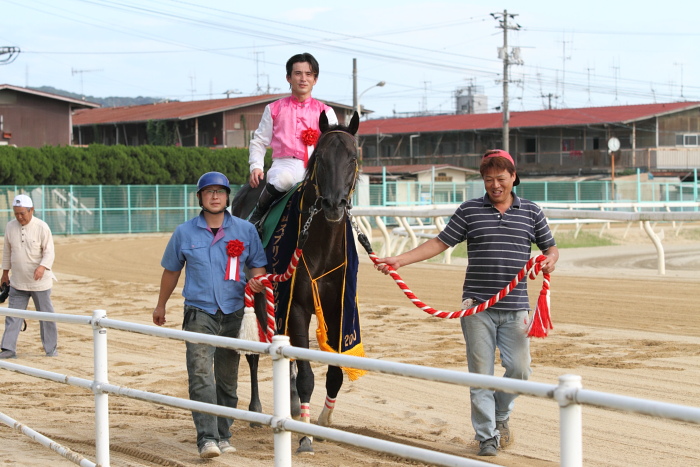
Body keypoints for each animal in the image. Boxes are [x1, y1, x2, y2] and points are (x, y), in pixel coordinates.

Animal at [231, 111, 360, 456]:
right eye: (321, 159)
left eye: (353, 158)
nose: (333, 205)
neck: (321, 244)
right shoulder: (299, 305)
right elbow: (306, 377)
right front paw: (305, 437)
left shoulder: (338, 306)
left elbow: (334, 372)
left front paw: (323, 420)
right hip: (257, 295)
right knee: (252, 353)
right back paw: (256, 409)